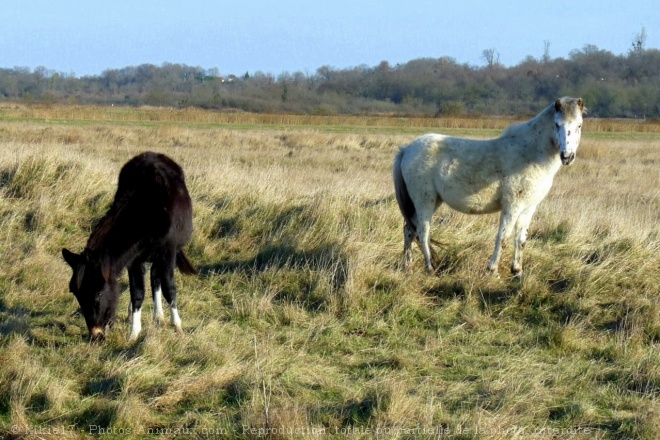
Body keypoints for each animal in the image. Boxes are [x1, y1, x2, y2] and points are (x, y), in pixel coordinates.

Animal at [392, 97, 584, 276]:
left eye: (579, 125)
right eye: (557, 124)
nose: (567, 156)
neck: (530, 154)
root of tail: (407, 149)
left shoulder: (528, 207)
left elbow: (520, 239)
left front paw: (517, 271)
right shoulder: (512, 206)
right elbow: (503, 237)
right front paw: (493, 271)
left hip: (432, 201)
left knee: (409, 230)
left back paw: (407, 266)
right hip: (425, 200)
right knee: (422, 232)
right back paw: (430, 268)